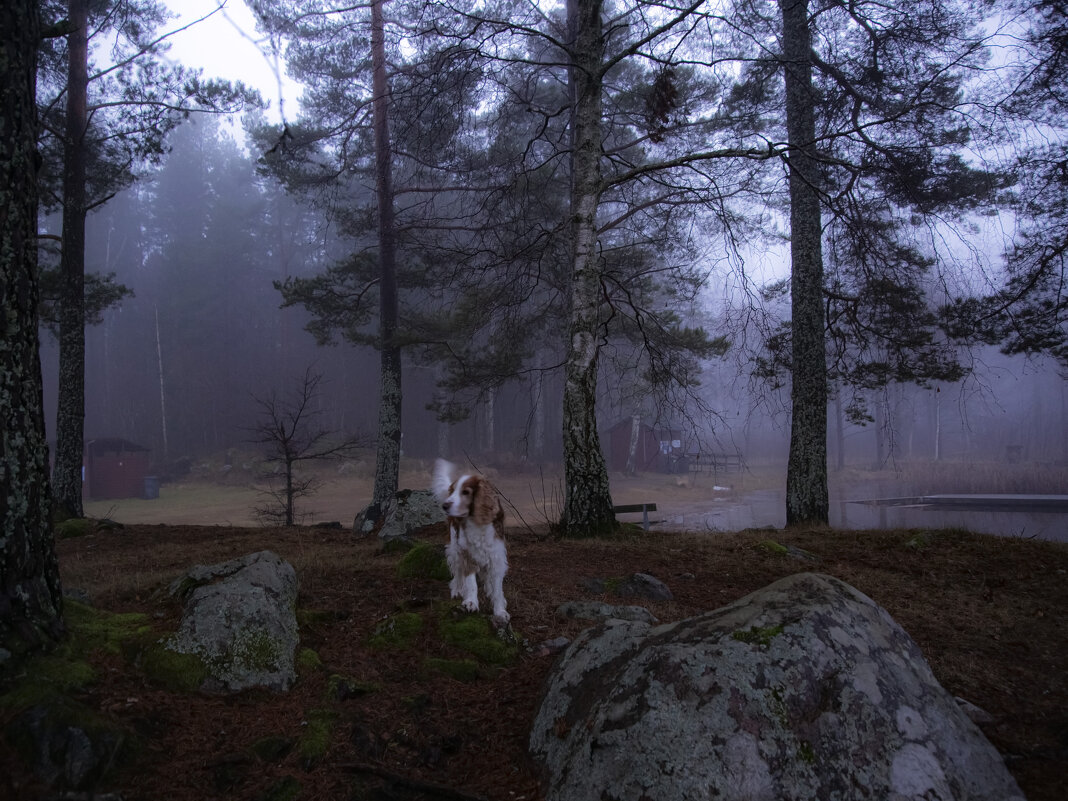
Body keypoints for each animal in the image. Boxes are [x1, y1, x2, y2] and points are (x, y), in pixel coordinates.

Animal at [429, 457, 508, 627]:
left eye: (465, 492)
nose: (445, 505)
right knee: (457, 572)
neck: (478, 524)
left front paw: (500, 611)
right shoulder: (467, 554)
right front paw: (471, 602)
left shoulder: (496, 557)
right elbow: (471, 582)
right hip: (454, 549)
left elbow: (497, 589)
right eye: (453, 491)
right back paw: (457, 590)